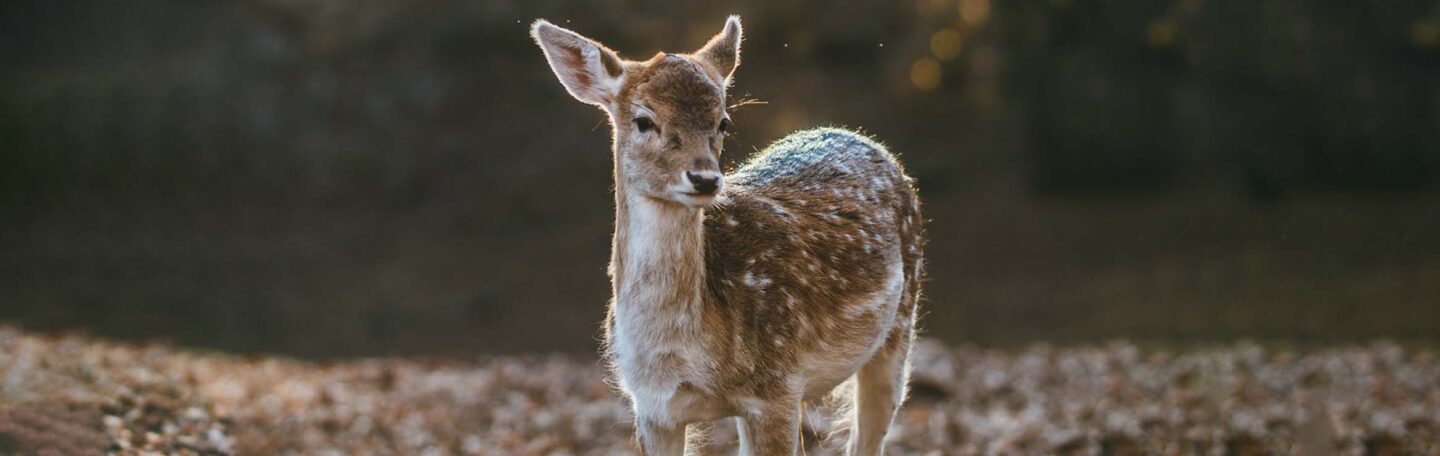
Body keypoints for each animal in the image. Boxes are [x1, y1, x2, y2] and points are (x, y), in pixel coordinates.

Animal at [535, 15, 927, 454]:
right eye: (643, 120)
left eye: (722, 121)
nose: (705, 178)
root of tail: (859, 137)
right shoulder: (652, 407)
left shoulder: (778, 385)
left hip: (900, 325)